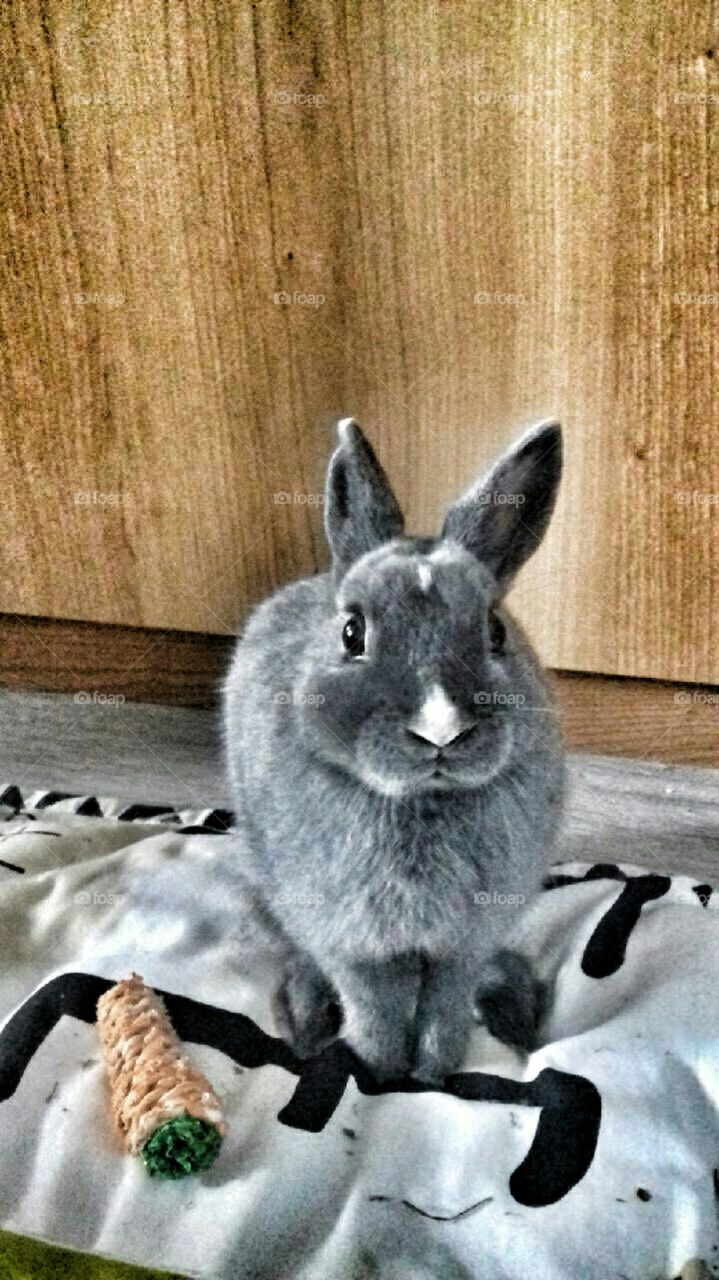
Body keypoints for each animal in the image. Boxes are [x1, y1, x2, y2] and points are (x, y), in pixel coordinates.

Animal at [223, 417, 566, 1083]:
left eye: (496, 631)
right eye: (352, 631)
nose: (441, 731)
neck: (419, 802)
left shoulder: (463, 944)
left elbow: (443, 1011)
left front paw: (433, 1078)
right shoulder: (352, 943)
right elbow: (376, 1013)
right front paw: (378, 1077)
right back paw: (307, 1021)